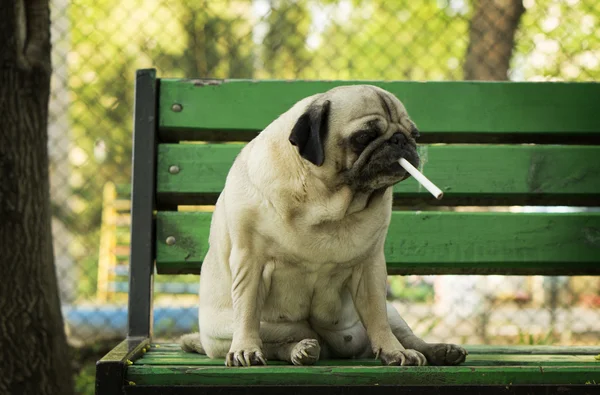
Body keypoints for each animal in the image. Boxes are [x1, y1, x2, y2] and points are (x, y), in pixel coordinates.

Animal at [179, 84, 468, 368]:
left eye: (414, 134)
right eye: (364, 136)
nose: (399, 140)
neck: (323, 200)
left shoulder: (370, 267)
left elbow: (377, 316)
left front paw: (393, 351)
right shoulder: (250, 261)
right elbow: (248, 310)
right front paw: (246, 348)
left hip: (392, 313)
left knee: (405, 334)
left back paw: (438, 350)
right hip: (228, 333)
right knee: (276, 343)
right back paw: (299, 349)